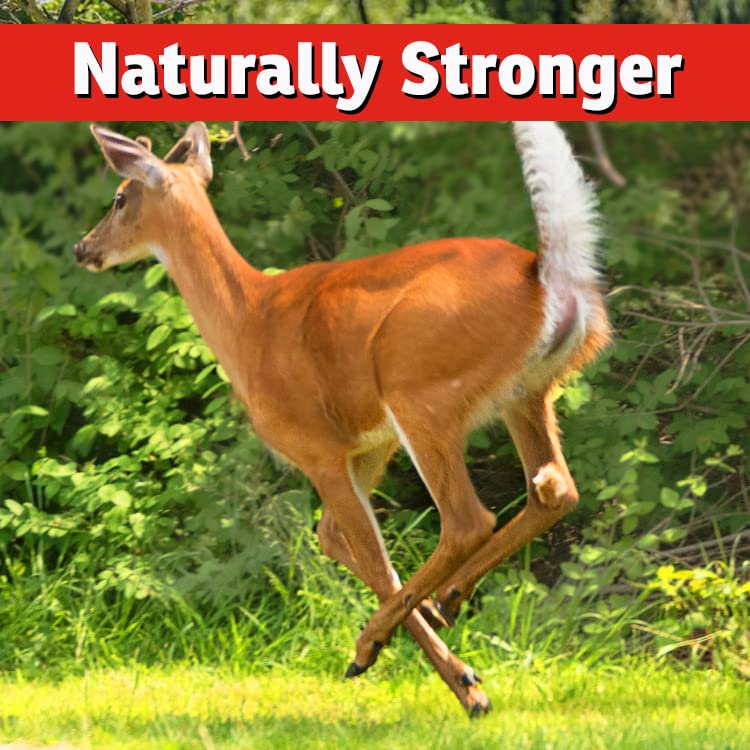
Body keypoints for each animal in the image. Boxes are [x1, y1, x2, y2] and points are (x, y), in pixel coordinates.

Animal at [74, 120, 609, 715]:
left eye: (120, 198)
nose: (83, 247)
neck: (248, 321)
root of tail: (546, 277)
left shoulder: (318, 449)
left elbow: (368, 553)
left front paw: (450, 678)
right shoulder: (368, 444)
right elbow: (338, 540)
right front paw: (452, 661)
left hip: (420, 391)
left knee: (469, 518)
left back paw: (381, 641)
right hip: (529, 393)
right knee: (556, 488)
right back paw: (448, 599)